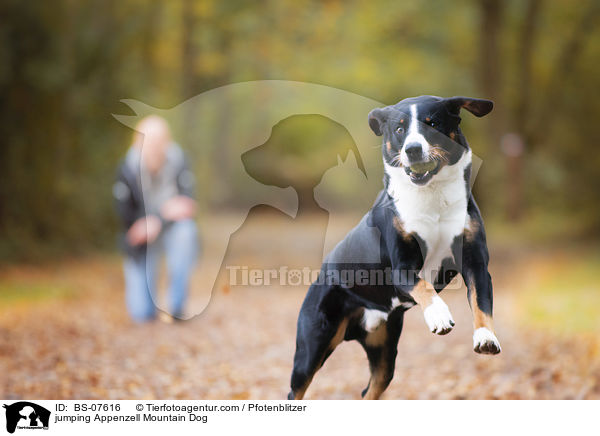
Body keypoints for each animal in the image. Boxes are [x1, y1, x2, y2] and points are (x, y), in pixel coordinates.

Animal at [288, 94, 500, 398]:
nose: (413, 149)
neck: (431, 196)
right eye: (400, 129)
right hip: (311, 348)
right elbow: (424, 287)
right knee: (296, 389)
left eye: (432, 123)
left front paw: (486, 336)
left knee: (370, 390)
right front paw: (438, 315)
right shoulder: (402, 268)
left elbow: (481, 302)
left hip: (384, 353)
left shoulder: (476, 263)